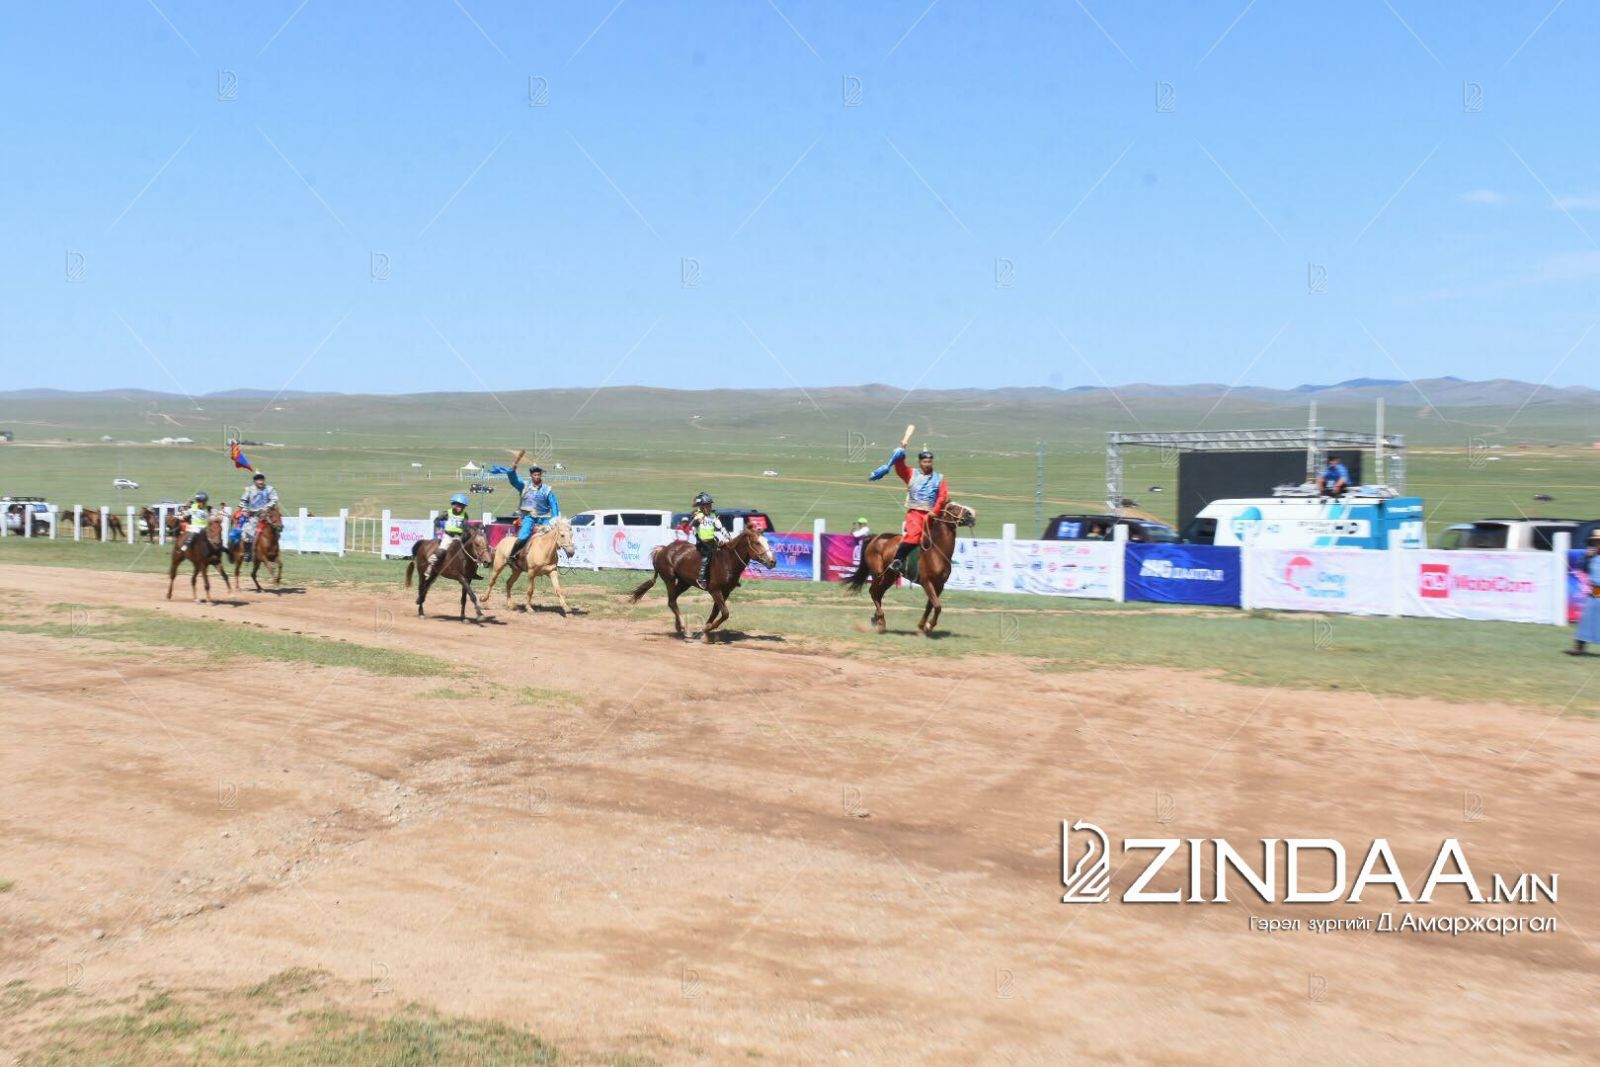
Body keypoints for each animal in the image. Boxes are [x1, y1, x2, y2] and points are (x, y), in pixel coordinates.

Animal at [628, 526, 776, 643]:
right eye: (757, 543)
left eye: (767, 541)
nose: (772, 561)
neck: (727, 561)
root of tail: (663, 549)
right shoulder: (714, 590)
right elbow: (725, 613)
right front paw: (707, 628)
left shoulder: (726, 591)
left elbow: (716, 612)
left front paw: (705, 631)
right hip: (669, 578)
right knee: (672, 601)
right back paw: (685, 629)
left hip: (684, 583)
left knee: (672, 600)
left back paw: (679, 627)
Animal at [844, 500, 977, 635]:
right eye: (953, 507)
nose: (971, 514)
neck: (936, 552)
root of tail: (875, 538)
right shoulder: (927, 582)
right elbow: (937, 606)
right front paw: (928, 626)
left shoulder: (939, 585)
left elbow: (931, 605)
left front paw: (923, 626)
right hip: (879, 574)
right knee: (874, 593)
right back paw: (880, 620)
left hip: (890, 577)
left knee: (879, 593)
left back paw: (878, 620)